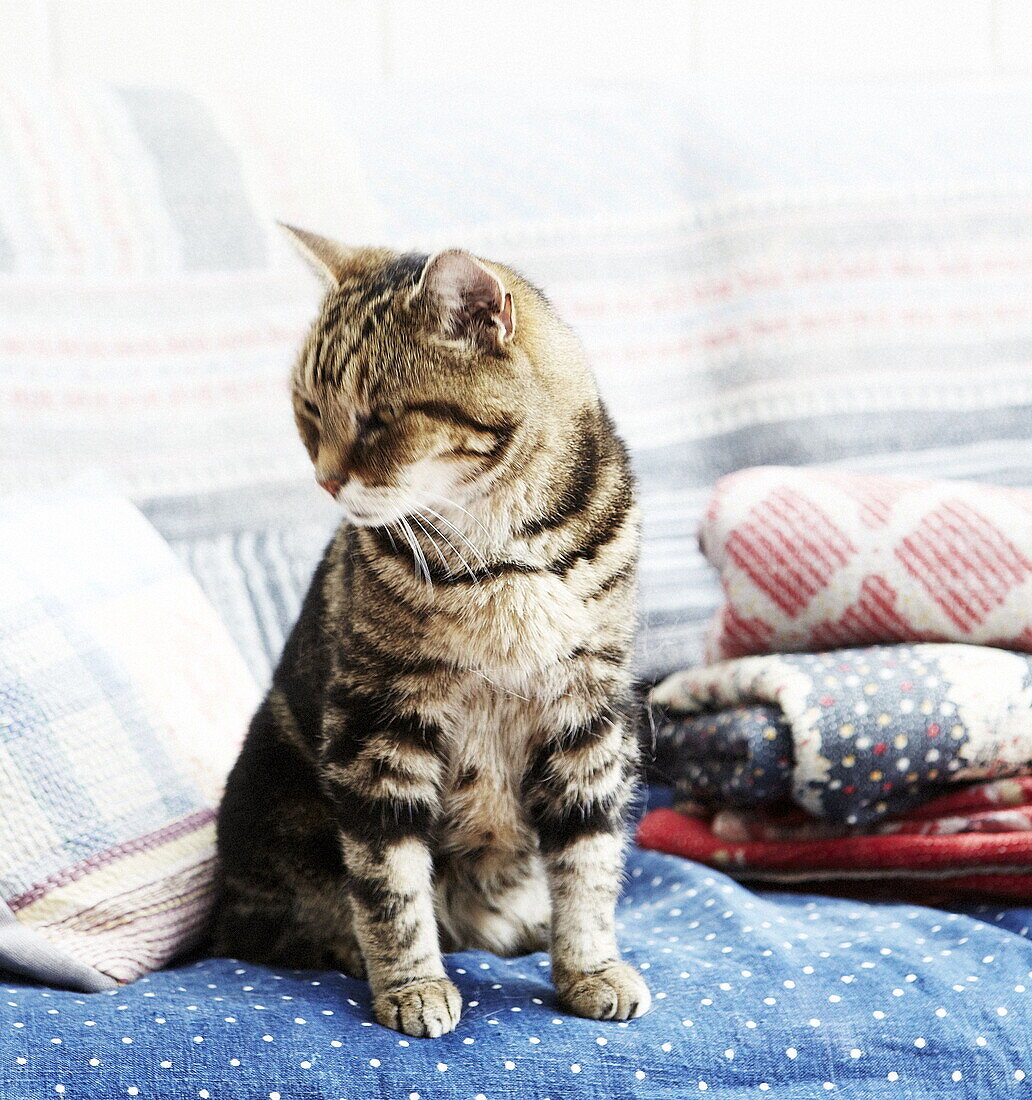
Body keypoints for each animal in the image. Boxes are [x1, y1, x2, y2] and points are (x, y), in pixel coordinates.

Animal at [215, 225, 651, 1038]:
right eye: (309, 408)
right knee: (279, 924)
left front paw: (590, 967)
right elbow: (390, 882)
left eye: (380, 417)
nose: (326, 479)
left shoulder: (589, 715)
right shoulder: (379, 722)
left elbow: (589, 863)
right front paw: (412, 985)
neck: (505, 552)